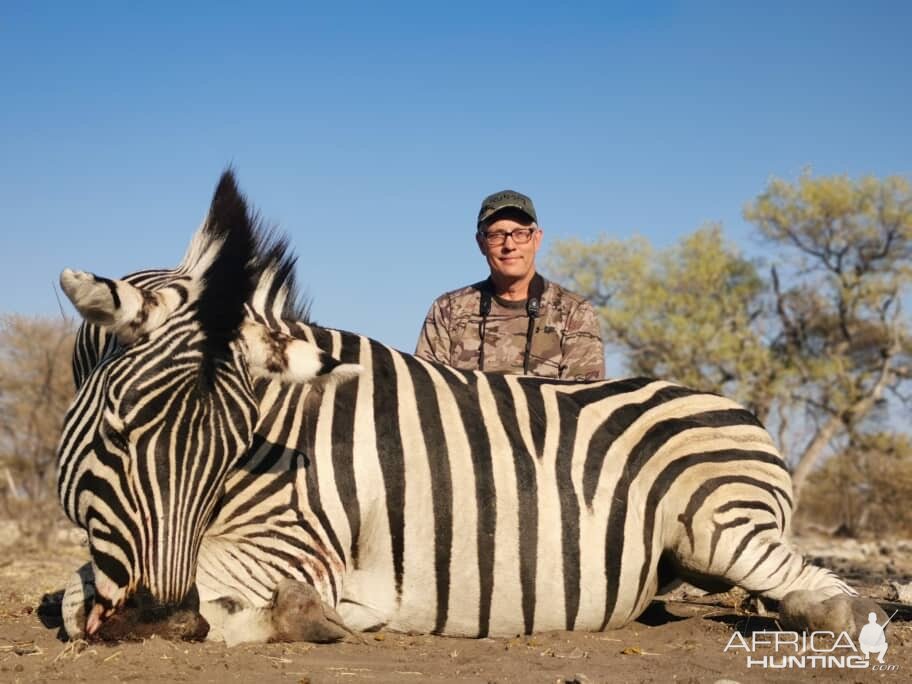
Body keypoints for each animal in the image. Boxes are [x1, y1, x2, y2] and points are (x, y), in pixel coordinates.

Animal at [55, 170, 876, 640]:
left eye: (231, 452)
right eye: (118, 436)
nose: (157, 619)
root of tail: (743, 412)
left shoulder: (294, 539)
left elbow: (215, 597)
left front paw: (319, 615)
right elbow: (72, 596)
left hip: (721, 526)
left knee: (831, 593)